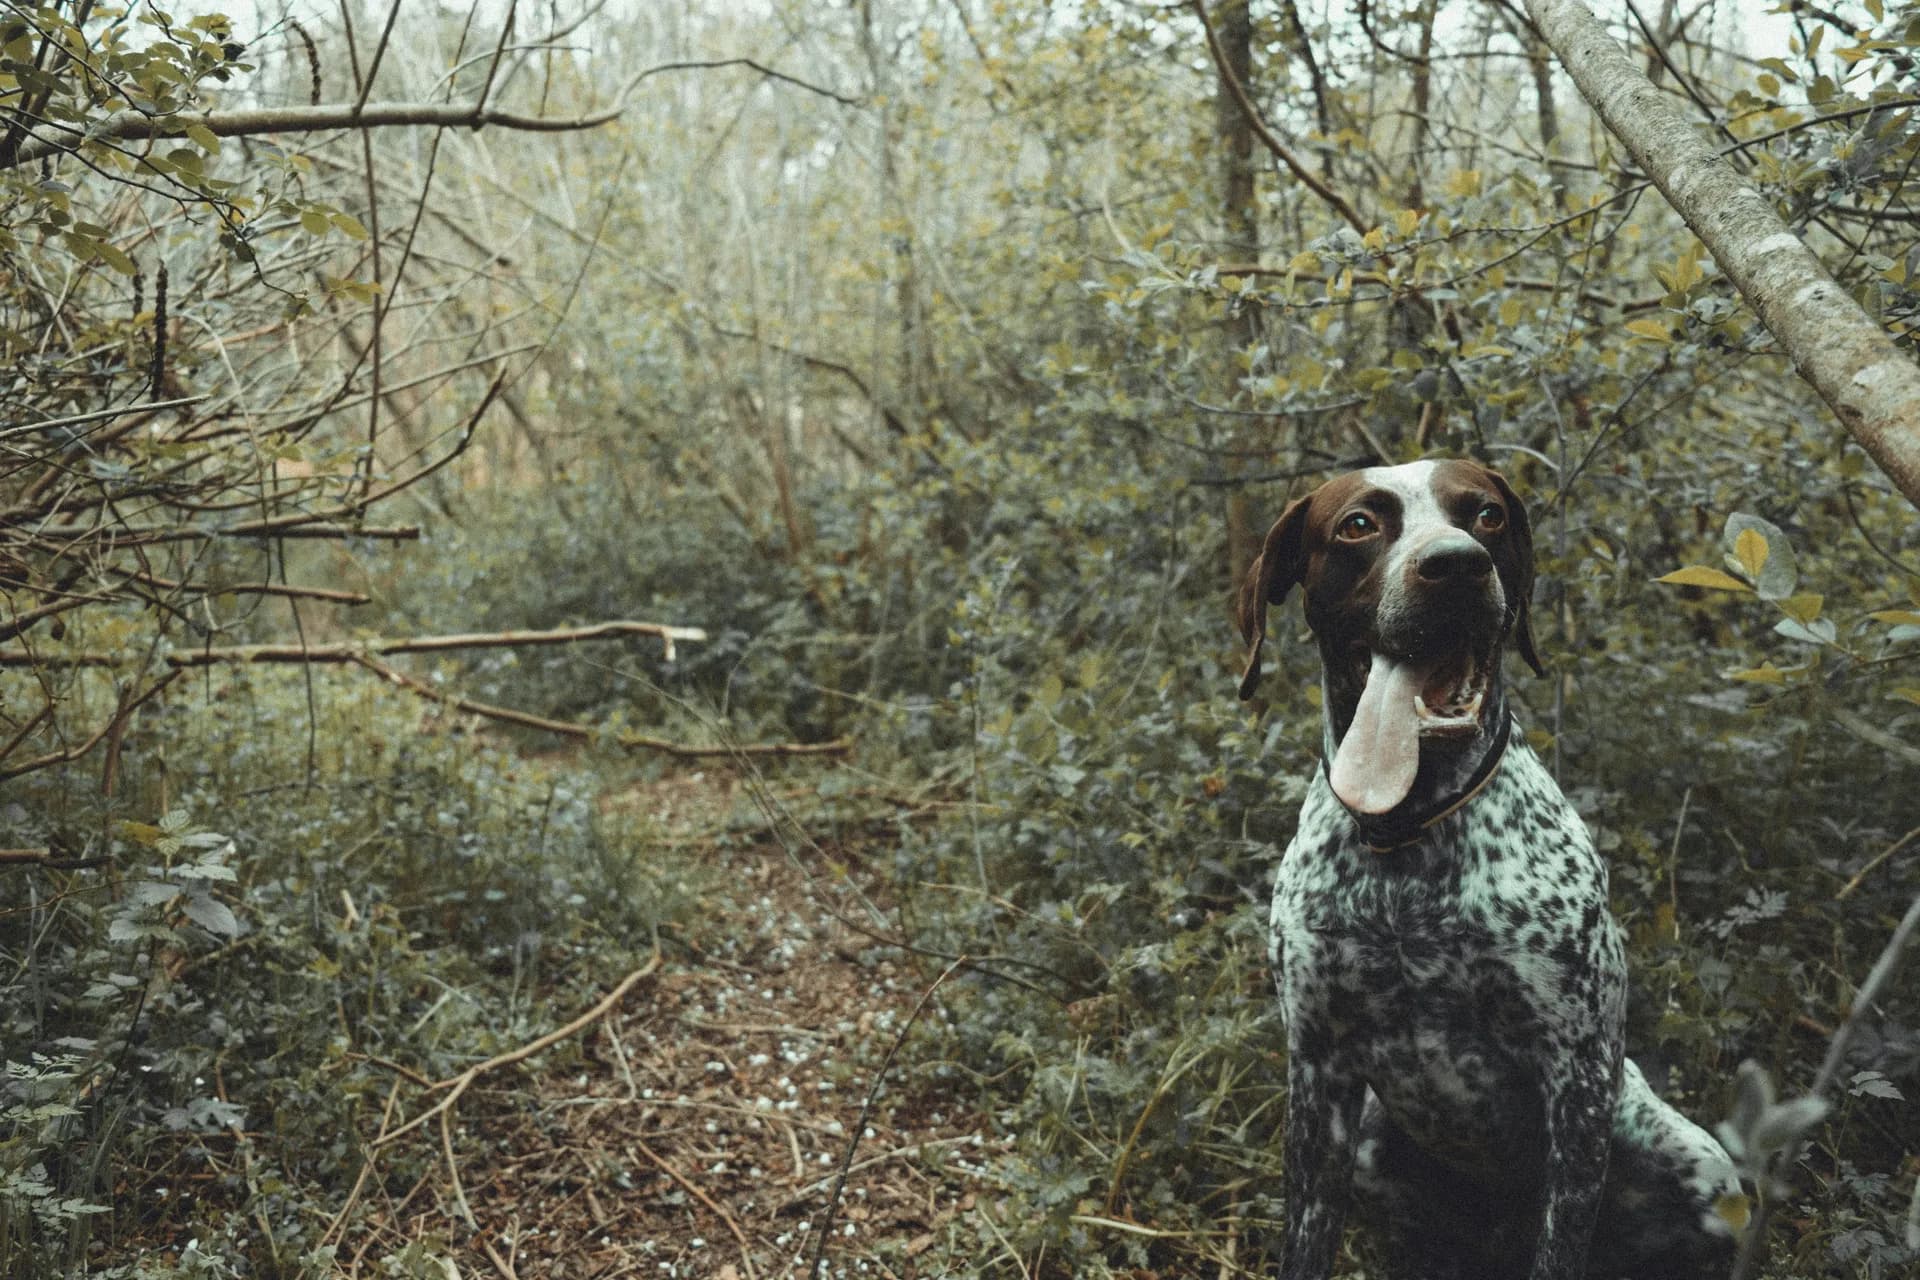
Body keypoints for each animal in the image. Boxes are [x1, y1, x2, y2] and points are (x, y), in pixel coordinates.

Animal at [1236, 460, 1751, 1280]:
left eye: (1486, 516)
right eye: (1358, 525)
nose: (1455, 564)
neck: (1407, 842)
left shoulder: (1577, 1077)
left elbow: (1562, 1243)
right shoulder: (1317, 1071)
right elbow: (1305, 1242)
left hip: (1701, 1170)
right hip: (1374, 1147)